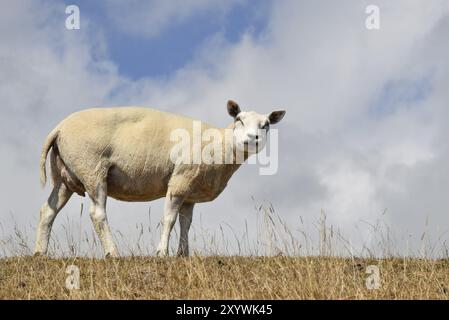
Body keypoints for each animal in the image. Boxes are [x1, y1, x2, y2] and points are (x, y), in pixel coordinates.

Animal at [36, 100, 288, 258]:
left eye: (266, 125)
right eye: (239, 119)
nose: (252, 138)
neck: (220, 144)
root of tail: (59, 128)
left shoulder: (190, 190)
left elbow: (186, 223)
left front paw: (183, 254)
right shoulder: (179, 180)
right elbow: (169, 219)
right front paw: (162, 253)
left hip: (65, 176)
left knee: (48, 210)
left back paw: (40, 252)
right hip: (92, 168)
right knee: (97, 213)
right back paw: (112, 253)